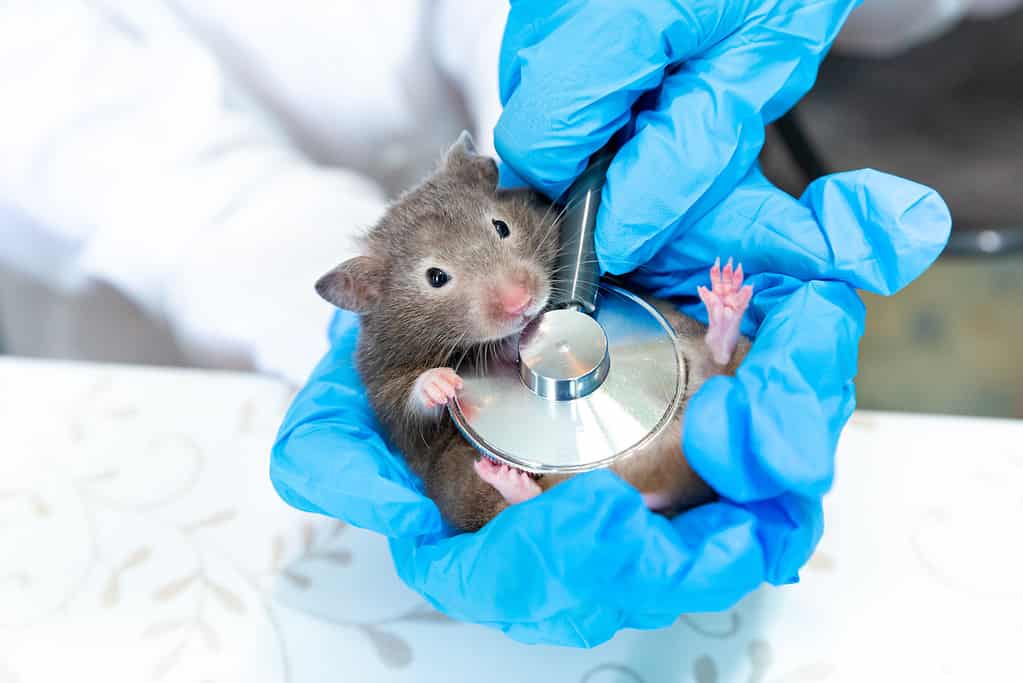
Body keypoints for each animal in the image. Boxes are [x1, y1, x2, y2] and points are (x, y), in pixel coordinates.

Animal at [310, 130, 752, 531]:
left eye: (501, 227)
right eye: (435, 277)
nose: (521, 303)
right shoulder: (385, 389)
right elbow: (410, 401)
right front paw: (445, 383)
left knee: (718, 361)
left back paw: (727, 298)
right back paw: (509, 480)